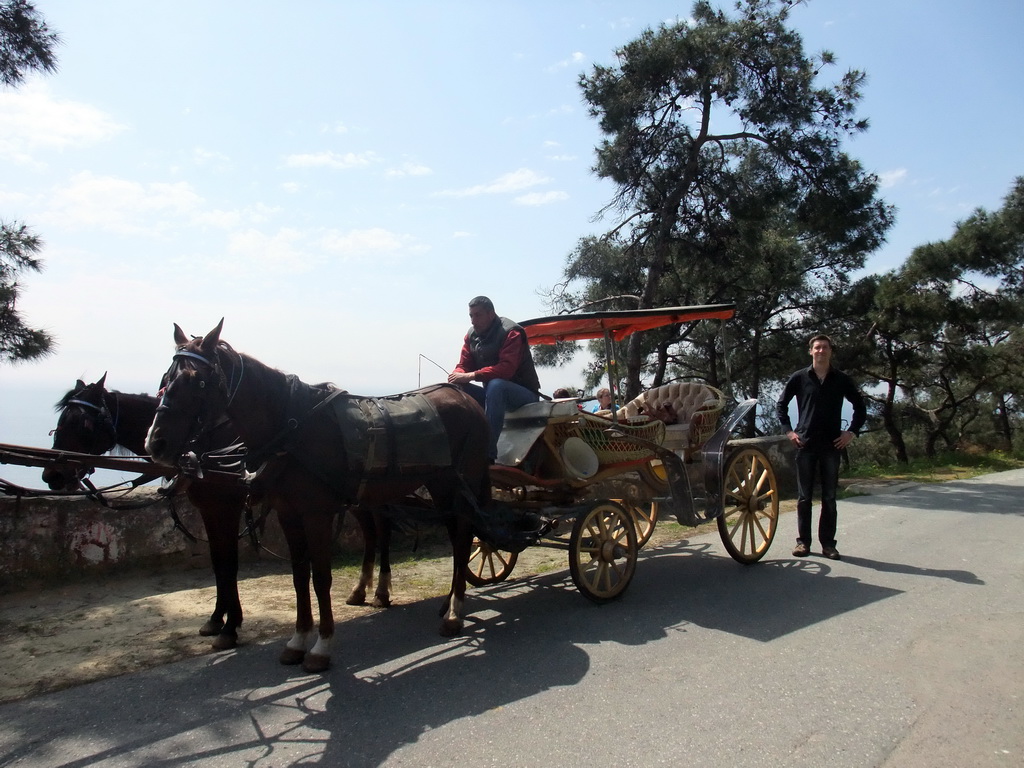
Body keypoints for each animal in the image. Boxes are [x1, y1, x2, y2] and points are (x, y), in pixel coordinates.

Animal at [146, 319, 493, 671]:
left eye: (197, 380)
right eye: (166, 378)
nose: (155, 442)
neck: (291, 430)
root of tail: (465, 398)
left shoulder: (314, 514)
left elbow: (320, 577)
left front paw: (321, 646)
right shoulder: (288, 513)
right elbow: (299, 576)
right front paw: (298, 640)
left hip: (455, 485)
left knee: (461, 539)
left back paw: (453, 612)